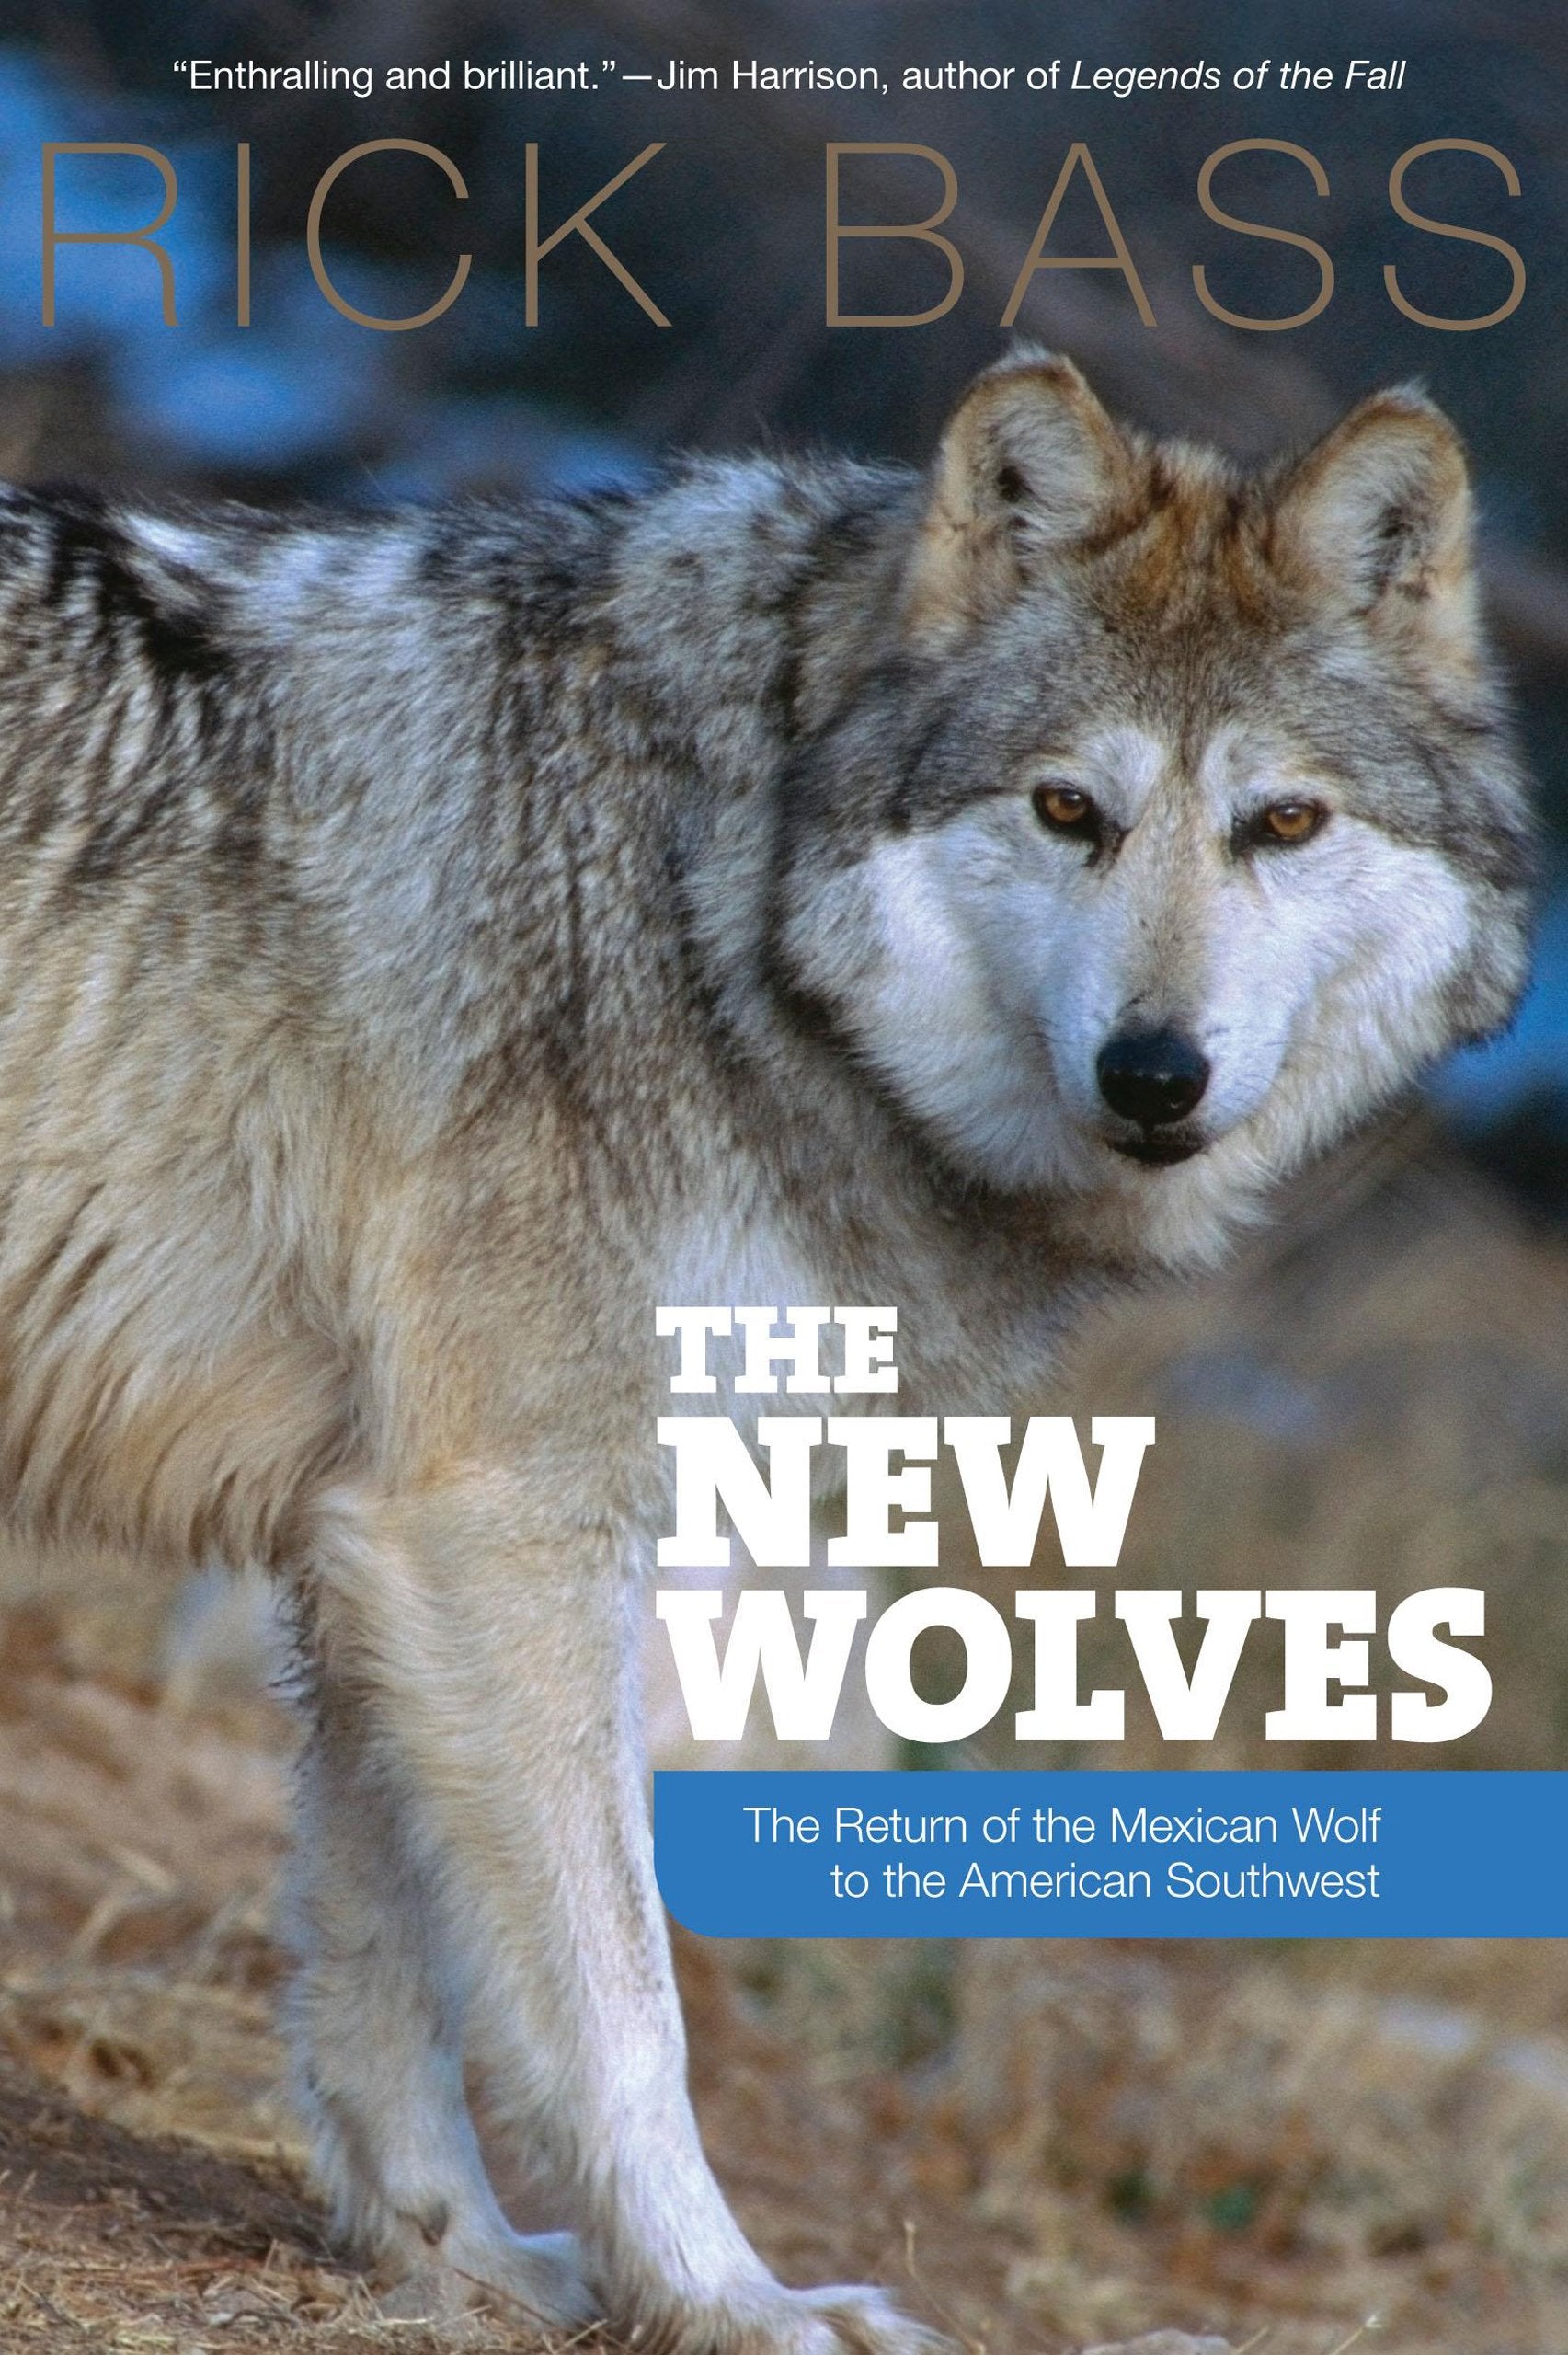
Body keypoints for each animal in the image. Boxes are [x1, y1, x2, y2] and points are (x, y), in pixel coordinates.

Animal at [0, 350, 1531, 2355]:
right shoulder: (500, 1524)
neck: (716, 895)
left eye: (1283, 824)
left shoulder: (383, 1542)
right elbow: (619, 2007)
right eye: (1068, 810)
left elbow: (394, 1968)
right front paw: (728, 2293)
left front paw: (457, 2262)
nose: (1155, 1072)